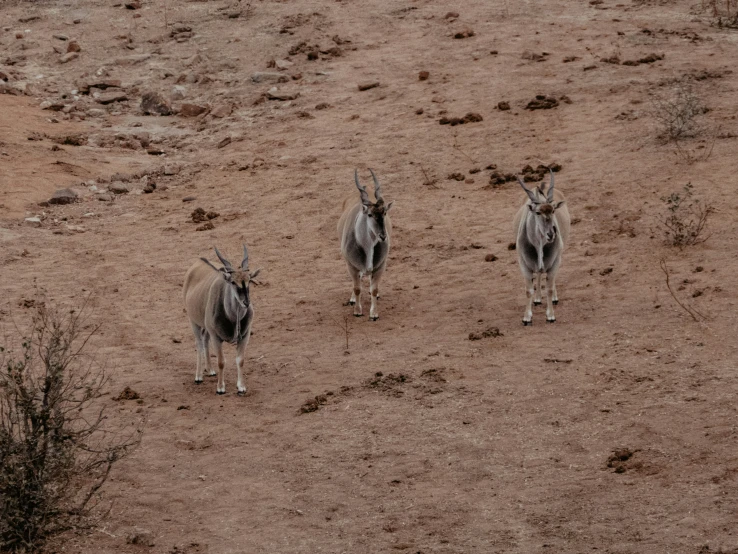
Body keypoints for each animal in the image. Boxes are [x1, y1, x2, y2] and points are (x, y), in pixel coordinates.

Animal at [182, 245, 260, 392]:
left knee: (204, 339)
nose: (246, 302)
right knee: (199, 344)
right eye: (233, 282)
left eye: (249, 280)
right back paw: (199, 376)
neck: (233, 318)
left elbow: (240, 360)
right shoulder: (216, 337)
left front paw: (241, 387)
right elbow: (221, 361)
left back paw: (210, 370)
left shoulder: (245, 336)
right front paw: (220, 388)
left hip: (206, 327)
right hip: (193, 321)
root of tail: (198, 261)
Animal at [338, 168, 392, 320]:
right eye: (370, 215)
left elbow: (374, 289)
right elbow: (357, 288)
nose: (383, 236)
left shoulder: (380, 266)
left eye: (384, 213)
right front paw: (357, 310)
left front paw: (374, 314)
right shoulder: (352, 266)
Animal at [512, 168, 568, 324]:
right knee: (538, 273)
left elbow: (549, 288)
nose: (551, 234)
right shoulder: (524, 264)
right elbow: (528, 290)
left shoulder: (555, 262)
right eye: (537, 212)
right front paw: (527, 317)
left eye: (553, 210)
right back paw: (537, 299)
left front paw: (550, 315)